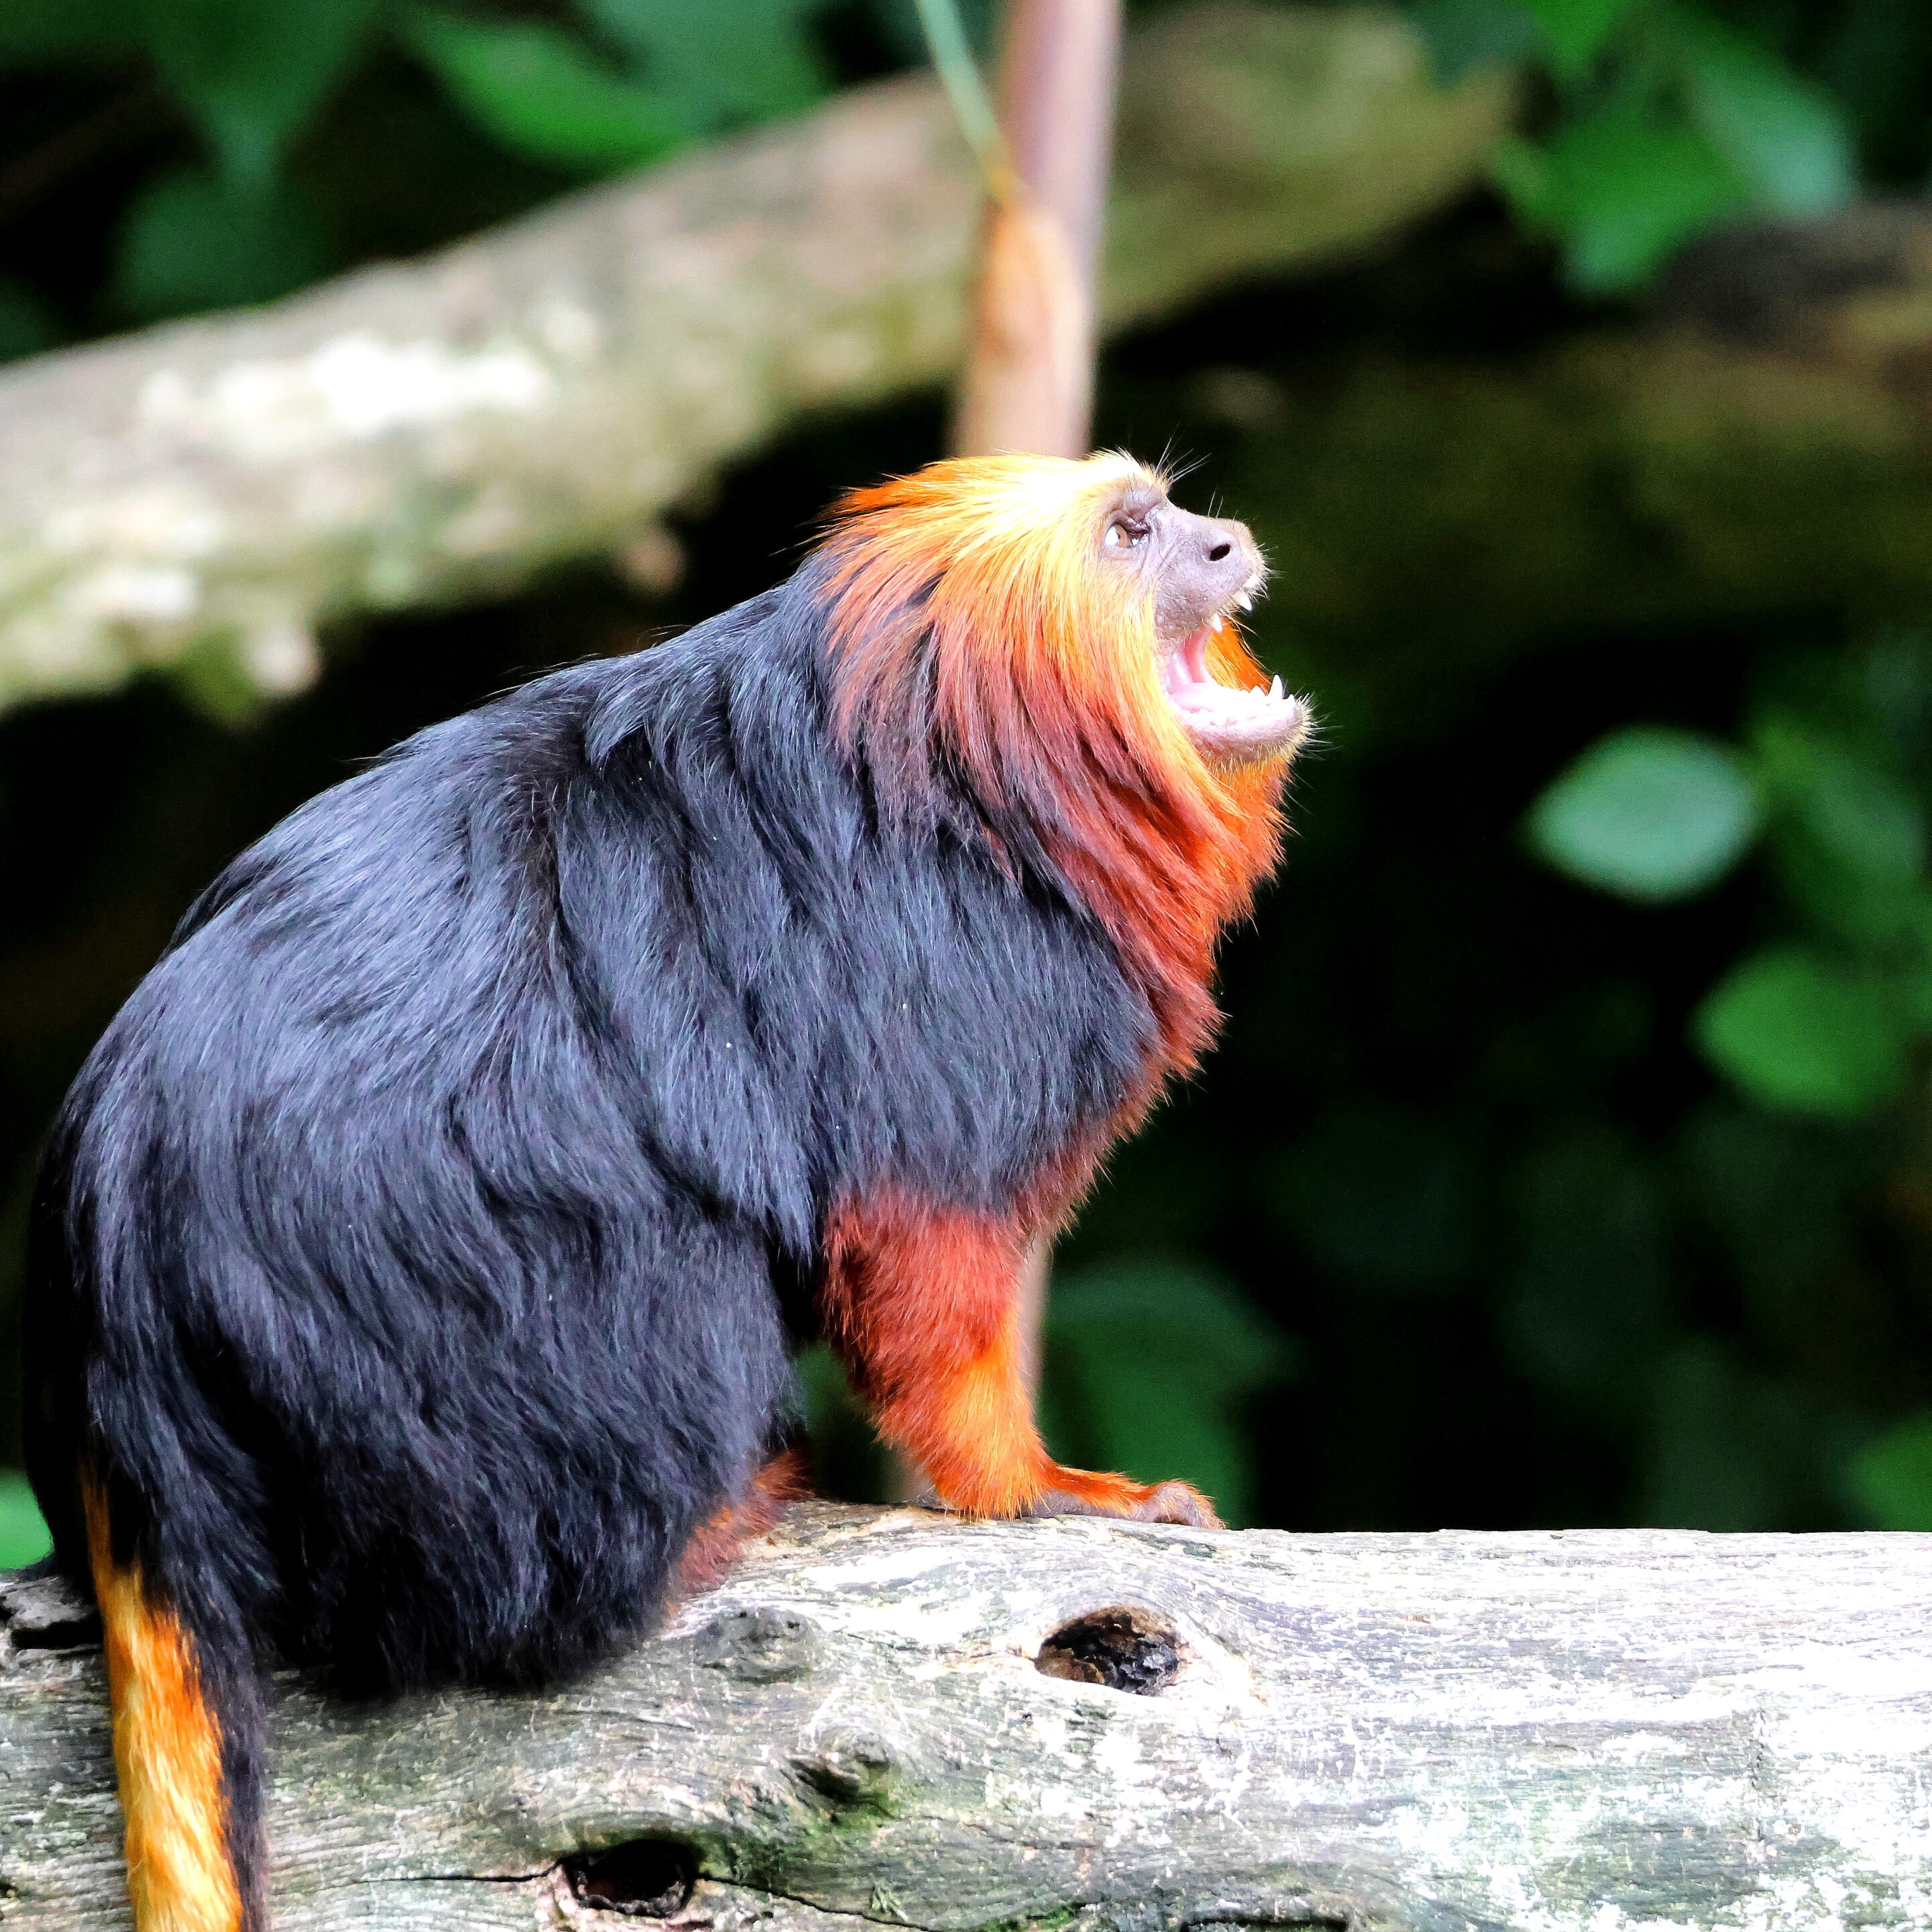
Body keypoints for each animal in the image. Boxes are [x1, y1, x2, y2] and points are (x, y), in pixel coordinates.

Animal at [21, 450, 1309, 1932]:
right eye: (1132, 533)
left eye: (1173, 510)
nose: (1225, 545)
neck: (978, 786)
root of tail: (121, 1240)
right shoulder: (941, 994)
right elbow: (921, 1258)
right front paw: (1030, 1488)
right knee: (645, 1285)